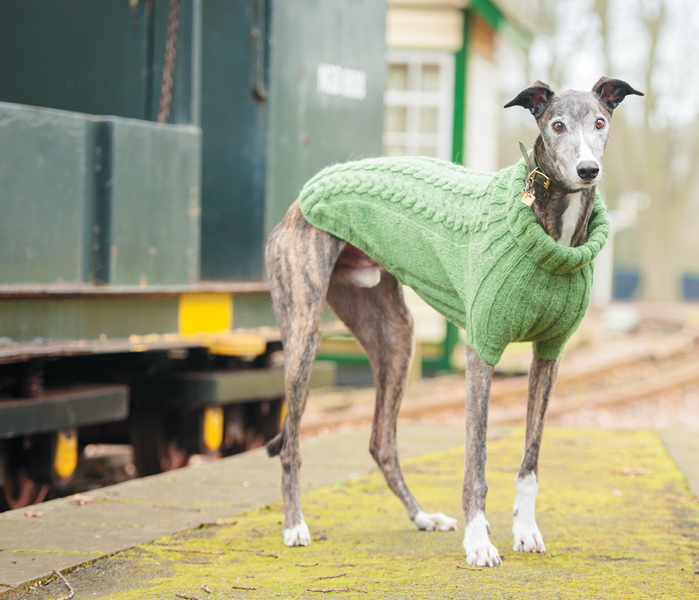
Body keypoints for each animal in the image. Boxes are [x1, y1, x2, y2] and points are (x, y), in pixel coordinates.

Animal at [266, 76, 644, 568]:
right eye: (557, 125)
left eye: (600, 122)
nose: (587, 170)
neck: (547, 228)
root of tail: (302, 195)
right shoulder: (480, 351)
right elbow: (476, 463)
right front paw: (479, 541)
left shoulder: (550, 354)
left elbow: (530, 460)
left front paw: (525, 531)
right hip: (303, 337)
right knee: (291, 442)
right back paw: (295, 525)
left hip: (396, 338)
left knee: (381, 442)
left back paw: (422, 517)